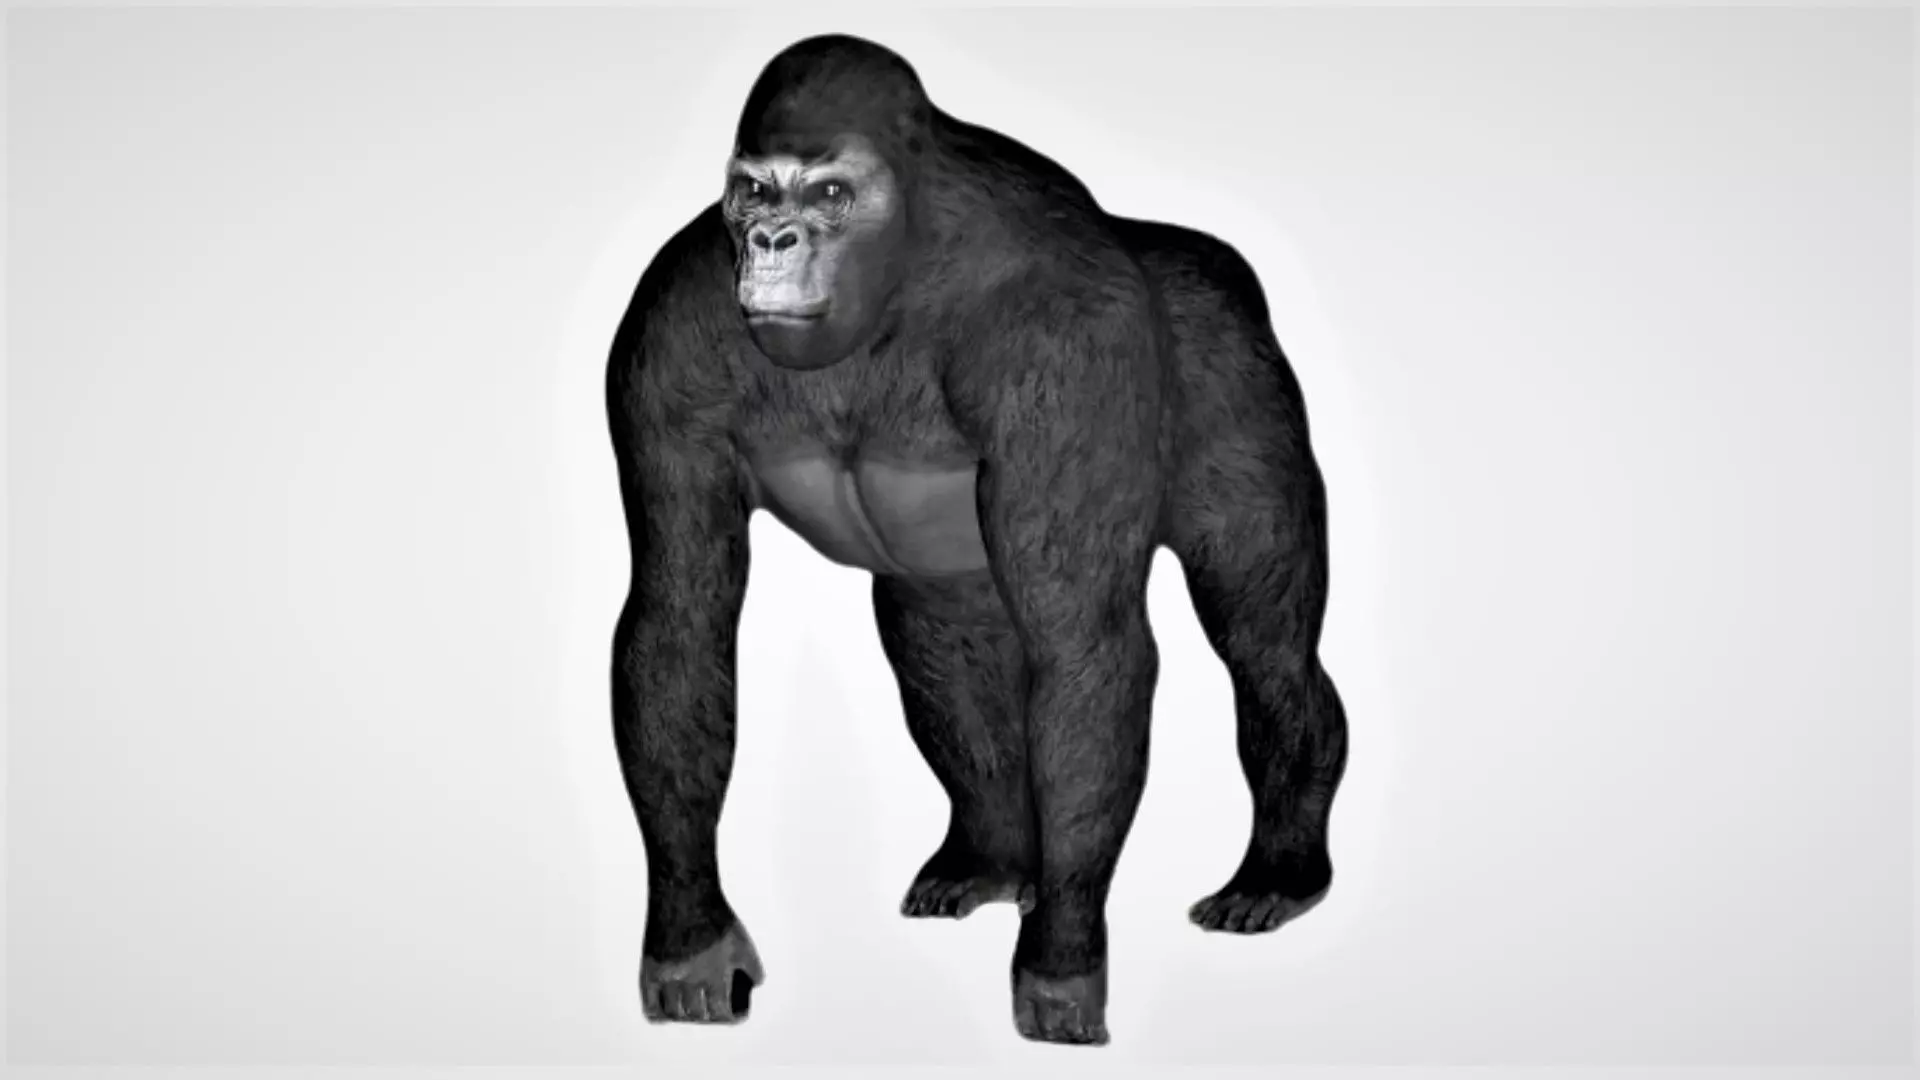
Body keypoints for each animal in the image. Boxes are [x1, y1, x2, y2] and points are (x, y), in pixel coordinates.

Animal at [606, 34, 1349, 1047]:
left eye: (830, 194)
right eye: (755, 192)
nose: (771, 242)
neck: (901, 270)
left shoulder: (1066, 348)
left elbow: (1083, 645)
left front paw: (1062, 964)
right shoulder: (666, 338)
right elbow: (679, 620)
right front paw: (691, 943)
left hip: (1237, 365)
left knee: (1263, 642)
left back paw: (1278, 872)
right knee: (939, 635)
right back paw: (994, 861)